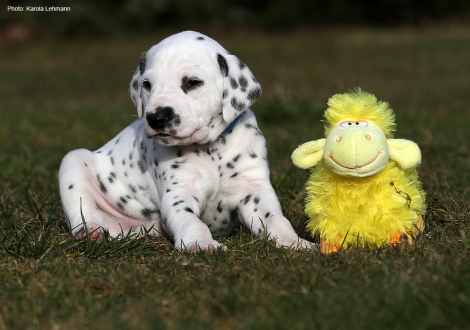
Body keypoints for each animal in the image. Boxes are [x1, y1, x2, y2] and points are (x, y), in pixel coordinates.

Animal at [59, 31, 316, 253]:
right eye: (147, 84)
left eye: (193, 82)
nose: (156, 118)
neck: (212, 149)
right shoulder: (179, 195)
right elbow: (191, 221)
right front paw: (201, 243)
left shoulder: (254, 189)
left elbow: (276, 219)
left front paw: (295, 242)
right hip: (74, 161)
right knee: (83, 209)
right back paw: (91, 231)